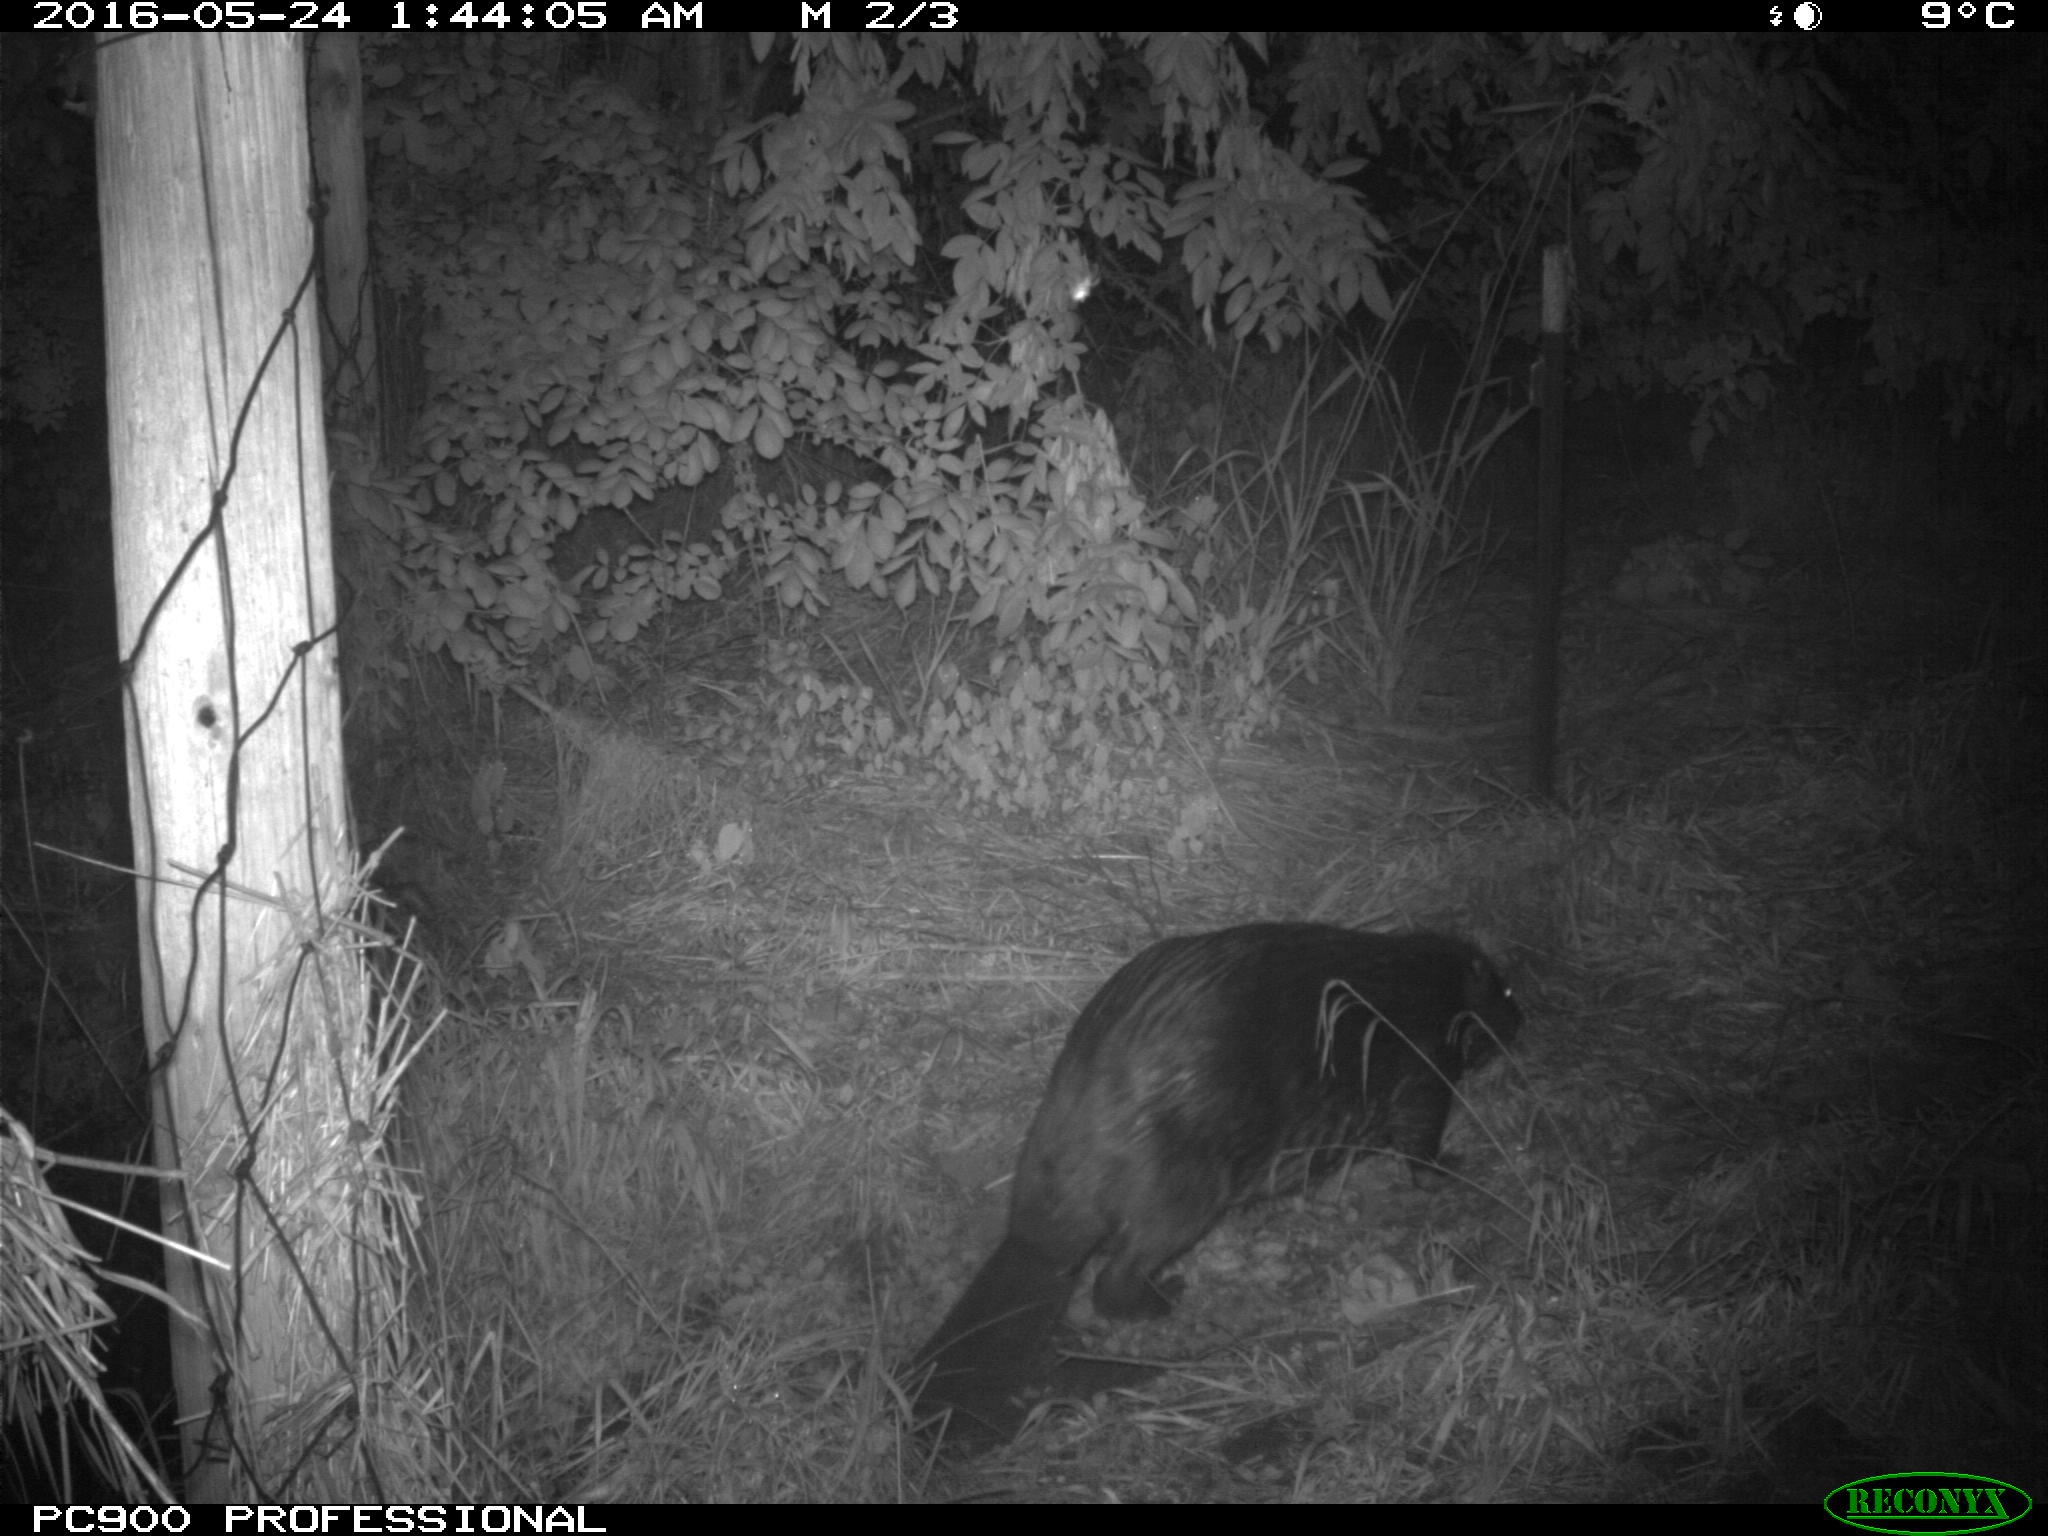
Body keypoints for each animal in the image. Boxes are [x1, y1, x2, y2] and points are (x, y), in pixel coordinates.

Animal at [913, 925, 1523, 1441]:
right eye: (1507, 987)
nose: (1522, 1018)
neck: (1412, 979)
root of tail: (1037, 1244)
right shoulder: (1423, 1061)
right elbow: (1420, 1140)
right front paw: (1456, 1163)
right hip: (1185, 1188)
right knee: (1114, 1277)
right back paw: (1169, 1294)